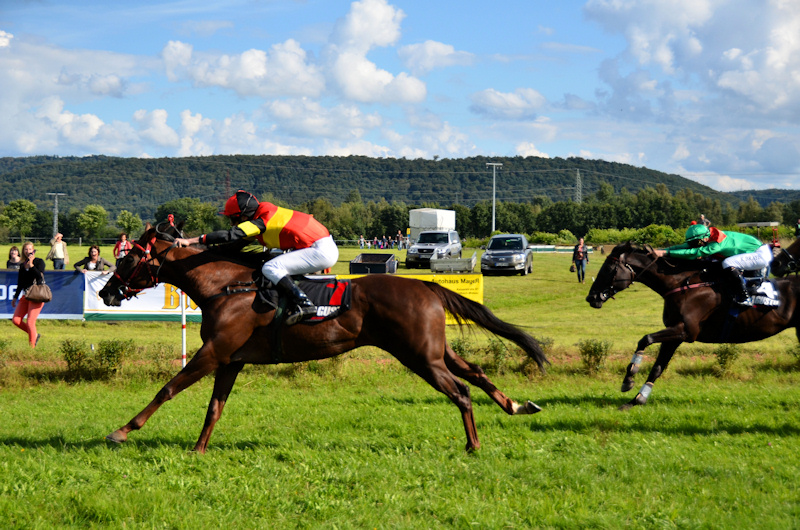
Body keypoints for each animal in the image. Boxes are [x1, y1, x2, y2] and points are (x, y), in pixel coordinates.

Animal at [97, 222, 548, 450]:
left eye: (129, 258)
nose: (105, 292)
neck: (227, 287)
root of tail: (426, 286)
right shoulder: (231, 360)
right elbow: (214, 408)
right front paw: (199, 449)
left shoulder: (214, 352)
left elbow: (168, 388)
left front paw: (122, 430)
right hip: (434, 351)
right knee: (475, 373)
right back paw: (516, 405)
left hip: (419, 356)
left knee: (461, 391)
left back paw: (473, 445)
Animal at [580, 241, 800, 410]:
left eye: (608, 269)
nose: (591, 297)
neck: (681, 284)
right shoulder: (675, 335)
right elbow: (657, 367)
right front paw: (636, 399)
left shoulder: (685, 331)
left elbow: (645, 339)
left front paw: (629, 377)